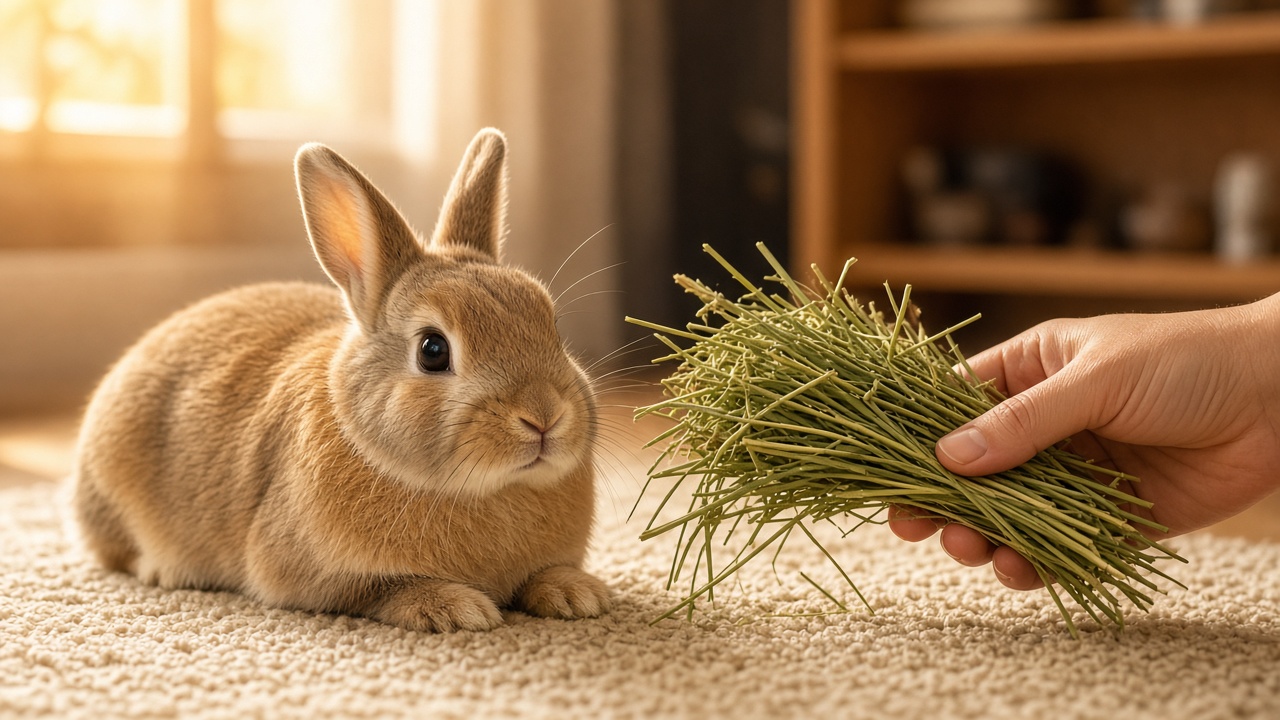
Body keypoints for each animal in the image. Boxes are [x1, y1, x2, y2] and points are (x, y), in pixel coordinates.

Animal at [71, 128, 611, 632]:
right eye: (433, 350)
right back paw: (164, 570)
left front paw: (578, 594)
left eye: (551, 323)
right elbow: (382, 591)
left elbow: (544, 574)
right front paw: (456, 609)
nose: (544, 416)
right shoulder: (315, 576)